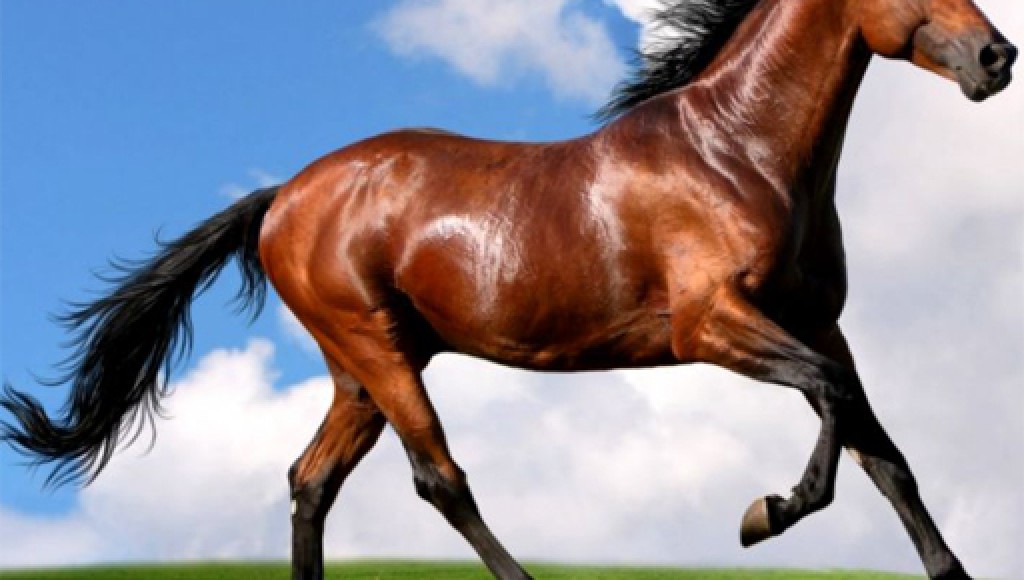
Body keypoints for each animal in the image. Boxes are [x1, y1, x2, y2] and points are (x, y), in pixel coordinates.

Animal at [2, 0, 1015, 578]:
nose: (997, 56)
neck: (738, 152)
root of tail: (281, 197)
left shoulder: (820, 323)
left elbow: (884, 454)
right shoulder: (711, 326)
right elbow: (833, 405)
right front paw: (762, 516)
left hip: (360, 371)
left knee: (310, 481)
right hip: (376, 350)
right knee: (437, 478)